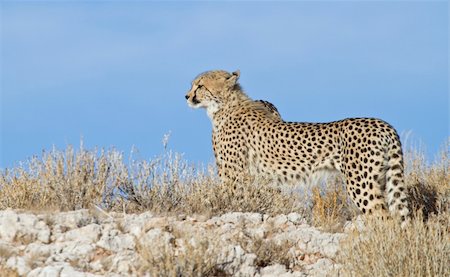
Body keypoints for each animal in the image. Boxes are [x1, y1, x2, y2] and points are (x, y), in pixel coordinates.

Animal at [185, 69, 412, 224]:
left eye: (200, 86)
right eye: (194, 85)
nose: (186, 96)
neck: (224, 106)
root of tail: (383, 124)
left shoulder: (233, 175)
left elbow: (229, 201)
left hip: (361, 183)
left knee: (383, 218)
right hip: (383, 179)